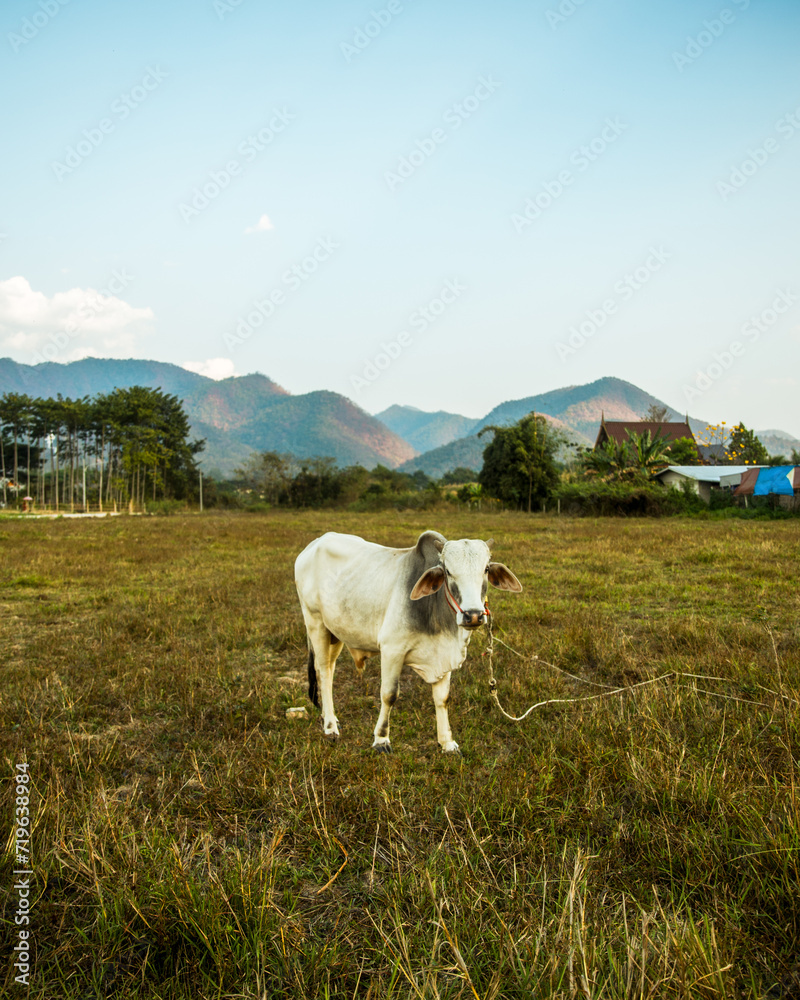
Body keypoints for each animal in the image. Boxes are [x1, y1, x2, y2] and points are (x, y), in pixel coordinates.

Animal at [294, 530, 522, 753]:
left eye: (486, 569)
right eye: (448, 571)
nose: (473, 615)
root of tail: (314, 544)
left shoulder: (445, 655)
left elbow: (443, 699)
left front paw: (447, 743)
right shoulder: (392, 651)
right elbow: (389, 695)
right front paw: (381, 740)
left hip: (336, 632)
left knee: (329, 669)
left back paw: (329, 717)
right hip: (315, 623)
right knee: (324, 672)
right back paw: (330, 726)